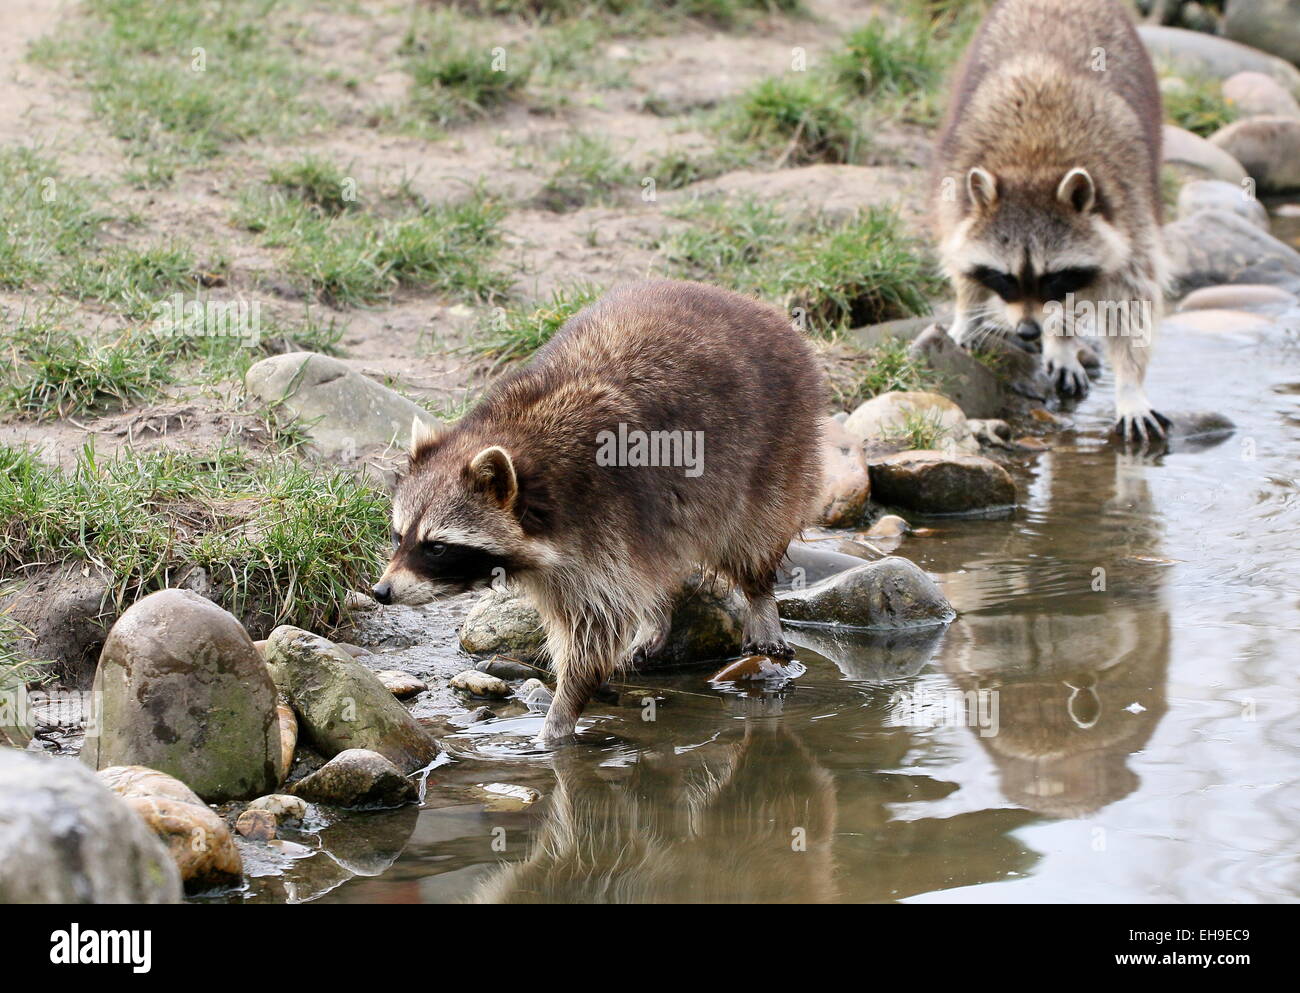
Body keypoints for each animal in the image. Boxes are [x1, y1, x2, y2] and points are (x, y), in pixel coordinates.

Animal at [371, 276, 826, 738]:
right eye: (398, 535)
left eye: (437, 546)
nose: (381, 592)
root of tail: (752, 306)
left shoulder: (605, 517)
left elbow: (596, 628)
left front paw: (559, 718)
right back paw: (659, 613)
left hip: (778, 441)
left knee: (754, 532)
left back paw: (759, 598)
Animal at [935, 0, 1170, 444]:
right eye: (1005, 278)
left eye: (1053, 277)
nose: (1029, 332)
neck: (1035, 161)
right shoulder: (955, 187)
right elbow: (957, 254)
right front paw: (966, 310)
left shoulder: (1130, 212)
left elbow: (1130, 305)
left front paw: (1130, 387)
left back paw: (1060, 338)